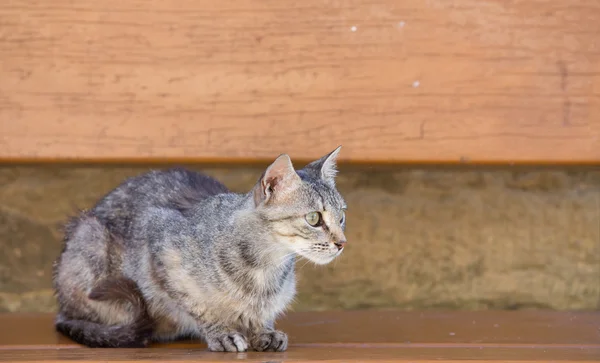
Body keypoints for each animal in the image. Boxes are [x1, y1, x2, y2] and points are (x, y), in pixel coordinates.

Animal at [54, 147, 350, 352]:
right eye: (314, 218)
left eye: (341, 217)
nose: (342, 242)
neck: (264, 268)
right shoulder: (159, 248)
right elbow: (195, 305)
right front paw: (221, 332)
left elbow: (261, 314)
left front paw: (263, 331)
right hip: (90, 237)